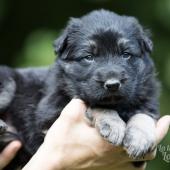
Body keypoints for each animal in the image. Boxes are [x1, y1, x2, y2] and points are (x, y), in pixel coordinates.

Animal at [0, 9, 159, 169]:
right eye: (89, 57)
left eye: (126, 54)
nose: (113, 84)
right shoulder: (50, 113)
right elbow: (96, 104)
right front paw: (113, 125)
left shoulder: (147, 99)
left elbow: (144, 115)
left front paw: (140, 139)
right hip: (8, 82)